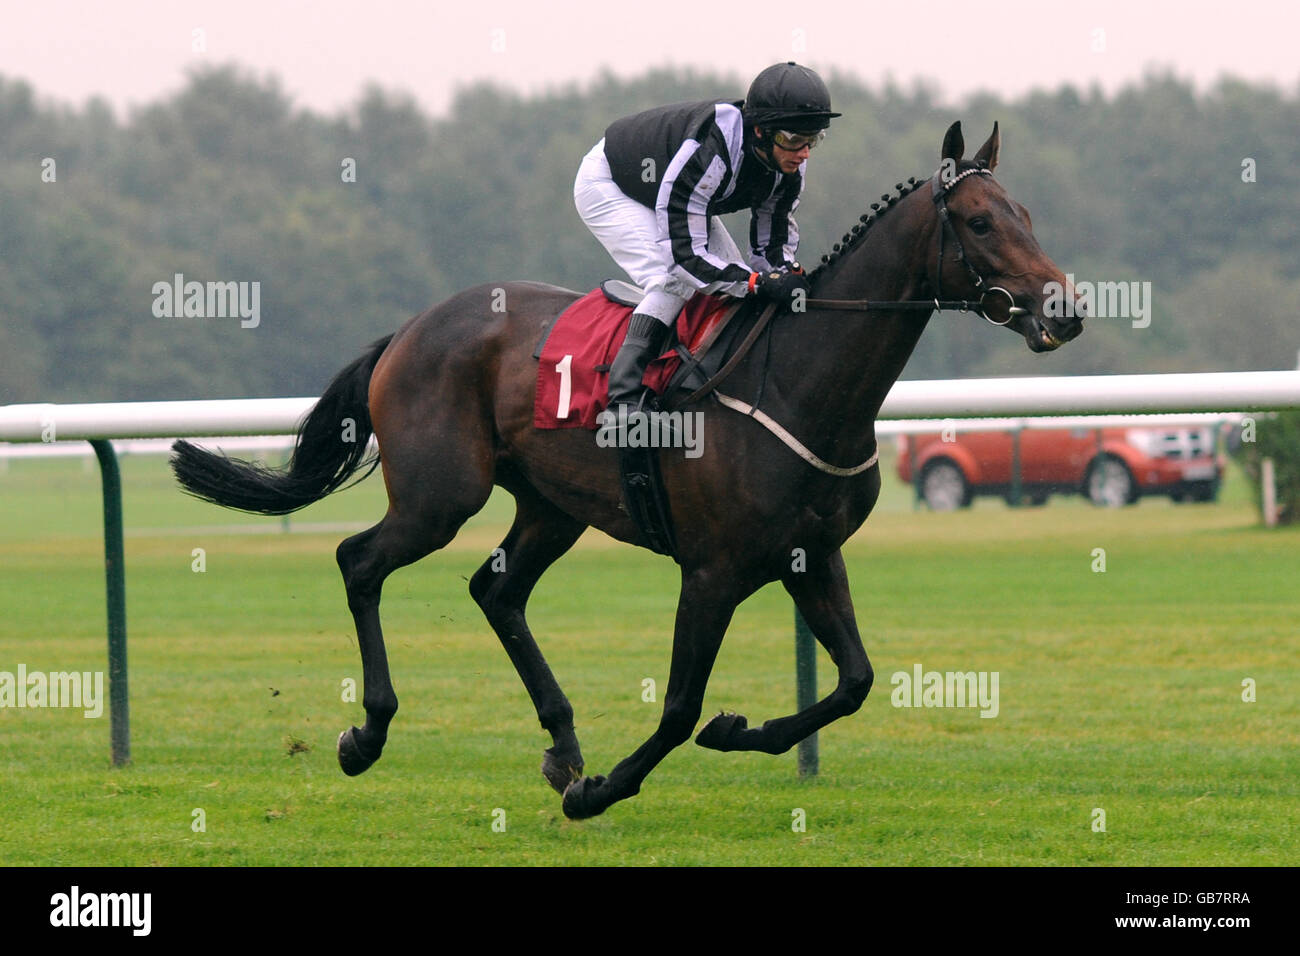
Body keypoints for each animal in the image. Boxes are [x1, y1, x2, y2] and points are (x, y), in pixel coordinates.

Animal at [175, 123, 1086, 816]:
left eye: (1027, 214)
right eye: (979, 223)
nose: (1066, 309)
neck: (798, 381)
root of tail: (408, 328)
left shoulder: (810, 556)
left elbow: (856, 680)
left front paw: (736, 731)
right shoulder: (713, 569)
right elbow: (680, 705)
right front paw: (607, 791)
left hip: (552, 505)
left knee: (496, 591)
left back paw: (562, 744)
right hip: (441, 496)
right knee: (360, 561)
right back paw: (369, 733)